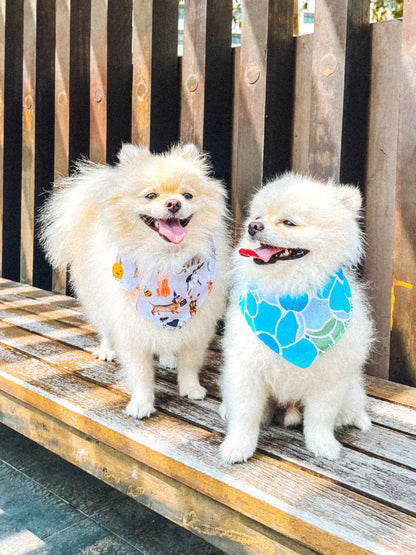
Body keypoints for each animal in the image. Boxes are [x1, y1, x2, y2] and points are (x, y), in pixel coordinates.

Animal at [40, 146, 229, 420]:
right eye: (150, 195)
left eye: (188, 195)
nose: (174, 203)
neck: (166, 260)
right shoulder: (131, 328)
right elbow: (141, 374)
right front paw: (141, 404)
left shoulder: (198, 326)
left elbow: (190, 363)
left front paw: (191, 387)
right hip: (100, 303)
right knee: (106, 329)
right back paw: (107, 350)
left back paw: (168, 356)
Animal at [221, 175, 374, 464]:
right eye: (257, 217)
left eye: (289, 222)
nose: (253, 227)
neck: (291, 293)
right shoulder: (248, 369)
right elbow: (245, 414)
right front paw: (238, 446)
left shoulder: (330, 376)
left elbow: (320, 418)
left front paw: (322, 444)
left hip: (350, 390)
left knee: (350, 406)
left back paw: (357, 417)